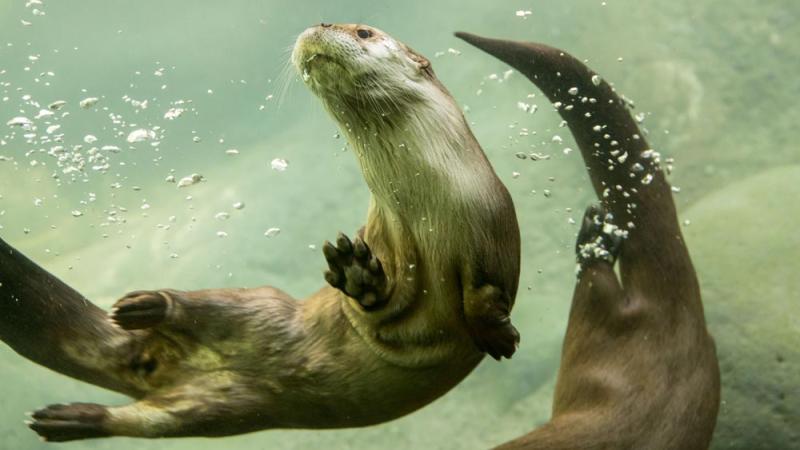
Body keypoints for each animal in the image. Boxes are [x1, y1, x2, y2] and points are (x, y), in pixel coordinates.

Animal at [0, 23, 520, 440]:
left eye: (363, 32)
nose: (320, 24)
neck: (425, 206)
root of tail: (149, 360)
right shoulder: (381, 231)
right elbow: (372, 305)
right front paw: (356, 273)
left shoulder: (493, 227)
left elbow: (484, 292)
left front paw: (498, 335)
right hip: (259, 305)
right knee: (201, 309)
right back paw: (142, 306)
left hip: (223, 409)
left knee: (146, 419)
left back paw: (68, 419)